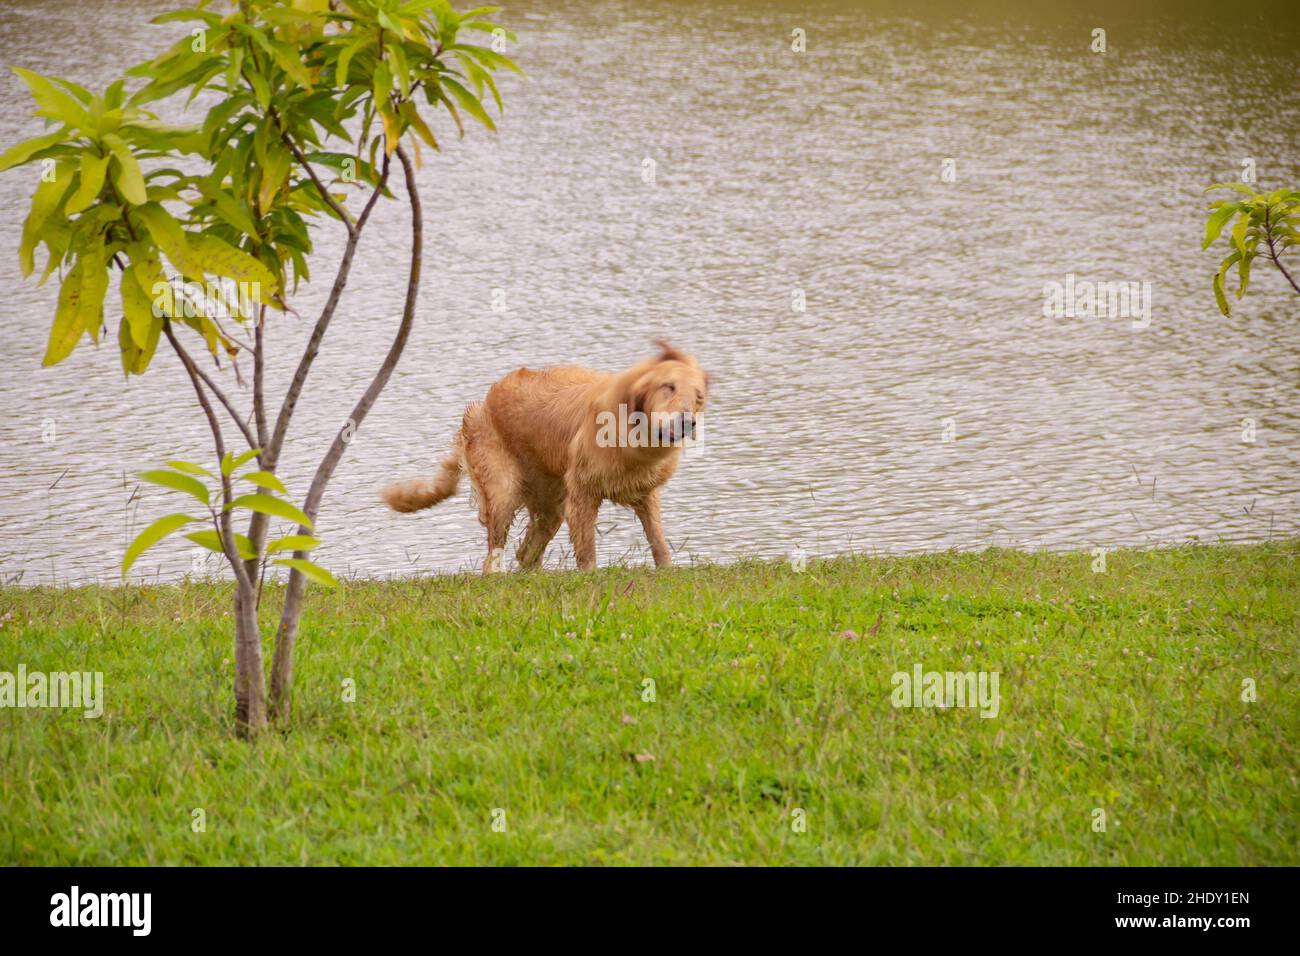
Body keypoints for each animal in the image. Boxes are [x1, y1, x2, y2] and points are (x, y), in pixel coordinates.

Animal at [382, 340, 712, 572]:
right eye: (668, 387)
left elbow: (659, 543)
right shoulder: (582, 495)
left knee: (526, 554)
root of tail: (480, 406)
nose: (688, 421)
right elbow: (587, 553)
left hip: (551, 504)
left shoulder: (645, 493)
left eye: (698, 397)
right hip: (504, 489)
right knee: (495, 556)